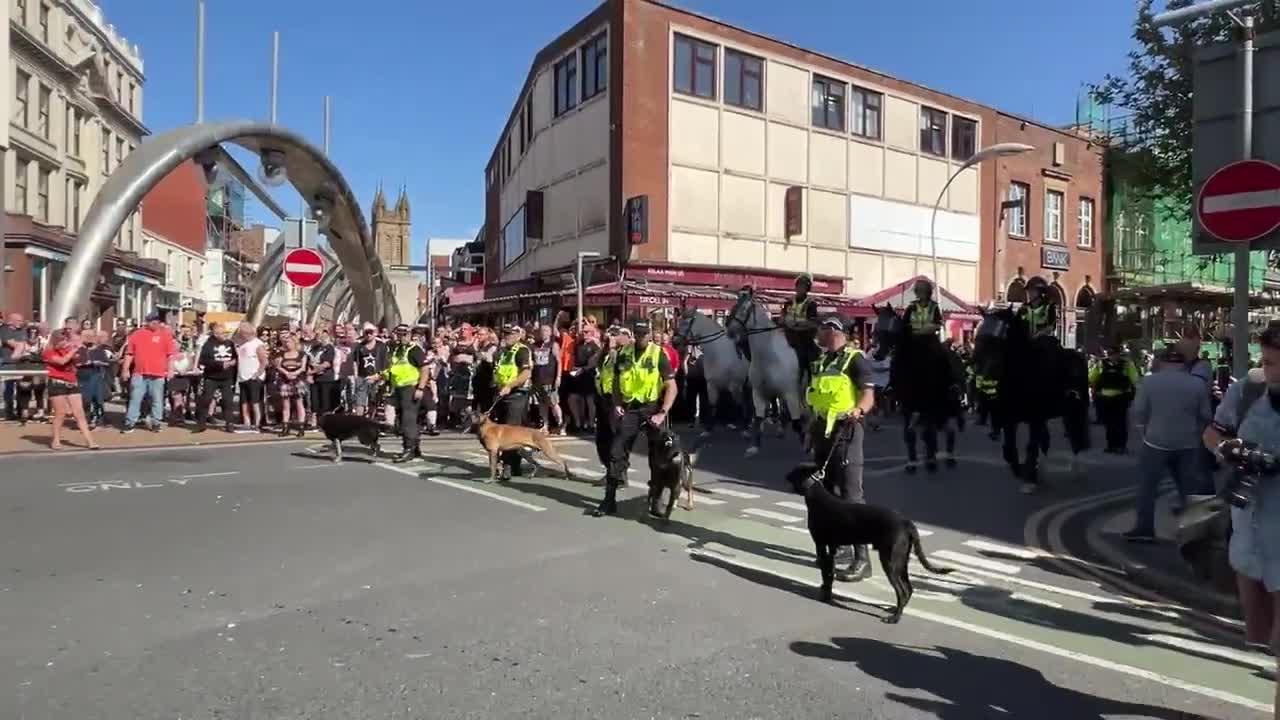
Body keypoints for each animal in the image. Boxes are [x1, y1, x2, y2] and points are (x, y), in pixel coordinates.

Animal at [670, 308, 747, 438]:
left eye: (686, 323)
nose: (674, 342)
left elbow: (739, 405)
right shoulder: (712, 385)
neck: (719, 353)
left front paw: (743, 428)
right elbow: (712, 405)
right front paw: (708, 429)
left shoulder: (735, 386)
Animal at [727, 285, 803, 453]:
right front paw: (754, 446)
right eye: (734, 305)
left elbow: (796, 419)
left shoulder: (790, 393)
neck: (769, 357)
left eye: (744, 309)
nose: (729, 331)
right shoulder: (758, 394)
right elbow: (758, 418)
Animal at [778, 461, 952, 620]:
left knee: (902, 590)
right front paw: (826, 593)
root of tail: (906, 522)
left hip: (890, 561)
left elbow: (824, 572)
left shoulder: (821, 545)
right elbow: (829, 573)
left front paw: (824, 594)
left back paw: (894, 618)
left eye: (793, 473)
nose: (784, 475)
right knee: (908, 589)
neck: (816, 495)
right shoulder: (832, 548)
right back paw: (895, 610)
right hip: (901, 561)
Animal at [870, 302, 962, 471]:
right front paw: (912, 462)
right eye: (876, 328)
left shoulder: (927, 403)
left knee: (947, 428)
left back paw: (947, 456)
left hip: (947, 401)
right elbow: (909, 433)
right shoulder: (906, 404)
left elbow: (927, 432)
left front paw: (931, 461)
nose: (877, 354)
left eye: (891, 329)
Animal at [967, 304, 1090, 489]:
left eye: (999, 339)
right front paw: (1023, 470)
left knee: (1075, 436)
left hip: (1075, 409)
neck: (1022, 372)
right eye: (979, 335)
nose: (979, 370)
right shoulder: (1009, 418)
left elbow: (1031, 445)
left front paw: (1029, 477)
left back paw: (1074, 469)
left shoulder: (1035, 418)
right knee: (1046, 441)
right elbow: (1009, 450)